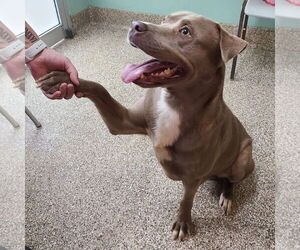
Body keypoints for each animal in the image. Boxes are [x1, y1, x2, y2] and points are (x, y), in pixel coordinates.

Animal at [36, 11, 254, 240]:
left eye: (185, 31)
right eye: (165, 19)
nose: (135, 25)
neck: (174, 103)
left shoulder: (192, 178)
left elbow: (186, 200)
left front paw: (183, 222)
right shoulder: (122, 122)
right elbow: (99, 88)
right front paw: (62, 78)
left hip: (242, 160)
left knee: (230, 179)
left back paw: (227, 196)